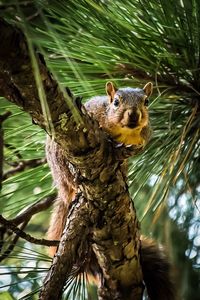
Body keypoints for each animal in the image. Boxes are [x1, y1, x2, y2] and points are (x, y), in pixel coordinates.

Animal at [45, 81, 175, 298]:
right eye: (115, 102)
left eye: (146, 102)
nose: (133, 114)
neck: (125, 132)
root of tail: (63, 190)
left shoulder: (144, 136)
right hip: (61, 162)